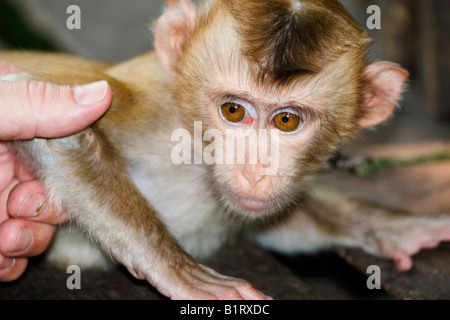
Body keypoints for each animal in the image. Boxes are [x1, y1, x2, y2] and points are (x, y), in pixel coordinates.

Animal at [0, 0, 450, 300]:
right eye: (233, 111)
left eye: (287, 121)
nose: (254, 169)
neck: (199, 163)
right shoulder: (149, 110)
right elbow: (54, 119)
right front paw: (183, 274)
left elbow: (281, 222)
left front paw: (395, 227)